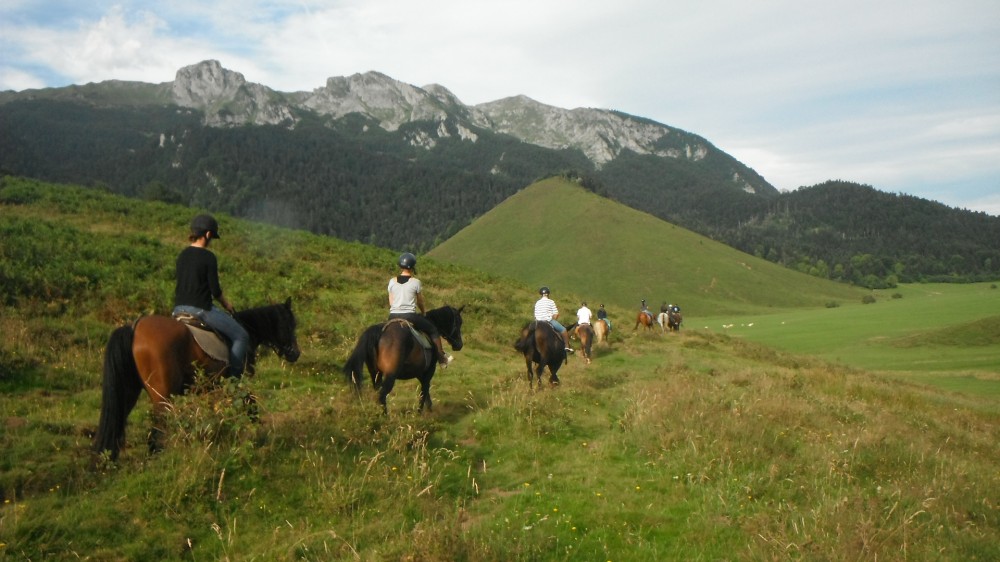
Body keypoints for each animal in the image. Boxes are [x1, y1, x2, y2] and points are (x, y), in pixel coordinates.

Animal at [94, 298, 300, 460]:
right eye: (290, 325)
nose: (295, 354)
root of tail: (134, 327)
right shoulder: (240, 382)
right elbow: (251, 408)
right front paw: (260, 435)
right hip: (162, 398)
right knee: (155, 434)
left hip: (129, 392)